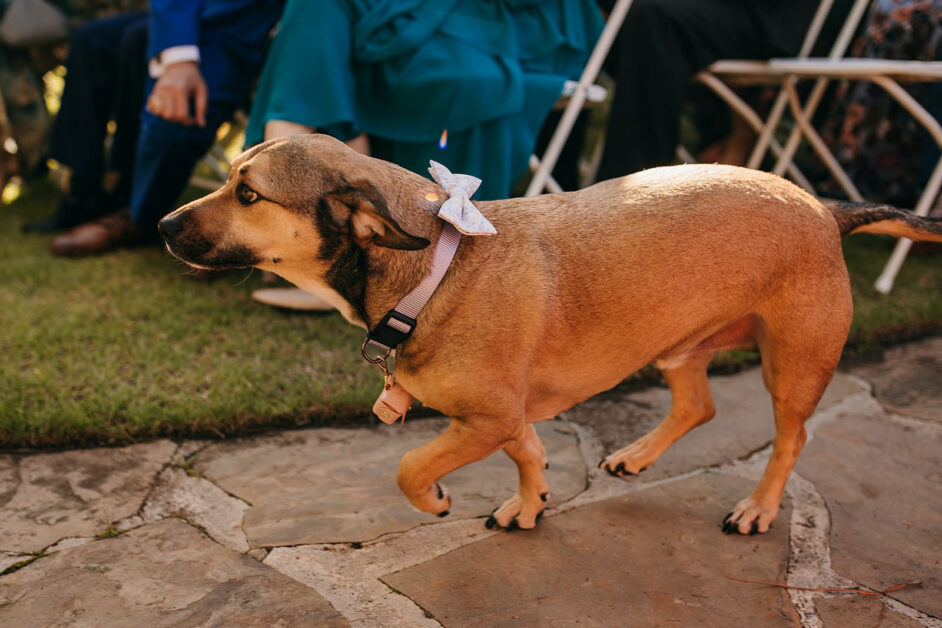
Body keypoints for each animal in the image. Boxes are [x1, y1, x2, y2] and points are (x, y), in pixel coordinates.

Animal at [159, 134, 940, 536]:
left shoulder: (483, 419)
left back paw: (760, 507)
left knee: (790, 439)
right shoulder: (508, 417)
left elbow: (411, 466)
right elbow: (530, 454)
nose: (163, 225)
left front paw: (436, 500)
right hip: (677, 347)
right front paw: (531, 503)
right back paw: (634, 456)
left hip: (794, 365)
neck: (435, 269)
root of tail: (824, 209)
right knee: (699, 404)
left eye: (248, 193)